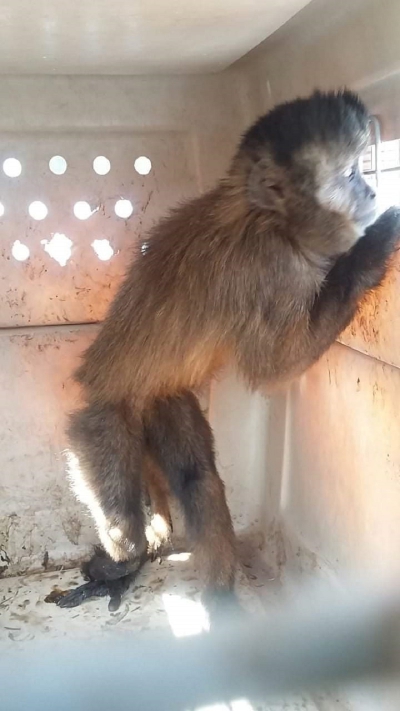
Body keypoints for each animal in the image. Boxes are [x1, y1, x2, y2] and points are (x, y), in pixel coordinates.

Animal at [66, 90, 400, 608]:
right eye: (350, 174)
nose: (369, 192)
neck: (266, 217)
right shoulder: (270, 265)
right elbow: (273, 367)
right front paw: (371, 249)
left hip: (163, 398)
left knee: (196, 478)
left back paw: (217, 595)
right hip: (100, 421)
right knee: (122, 507)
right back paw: (125, 559)